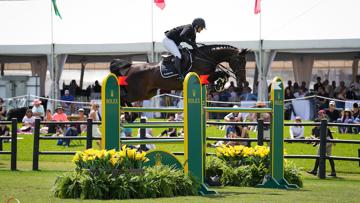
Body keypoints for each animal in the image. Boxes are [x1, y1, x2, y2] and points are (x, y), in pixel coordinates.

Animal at [111, 44, 249, 104]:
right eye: (239, 61)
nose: (242, 81)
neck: (204, 58)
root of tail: (131, 67)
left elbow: (222, 74)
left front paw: (217, 86)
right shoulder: (201, 77)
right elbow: (221, 74)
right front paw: (218, 85)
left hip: (147, 93)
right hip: (137, 92)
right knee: (123, 98)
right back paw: (128, 116)